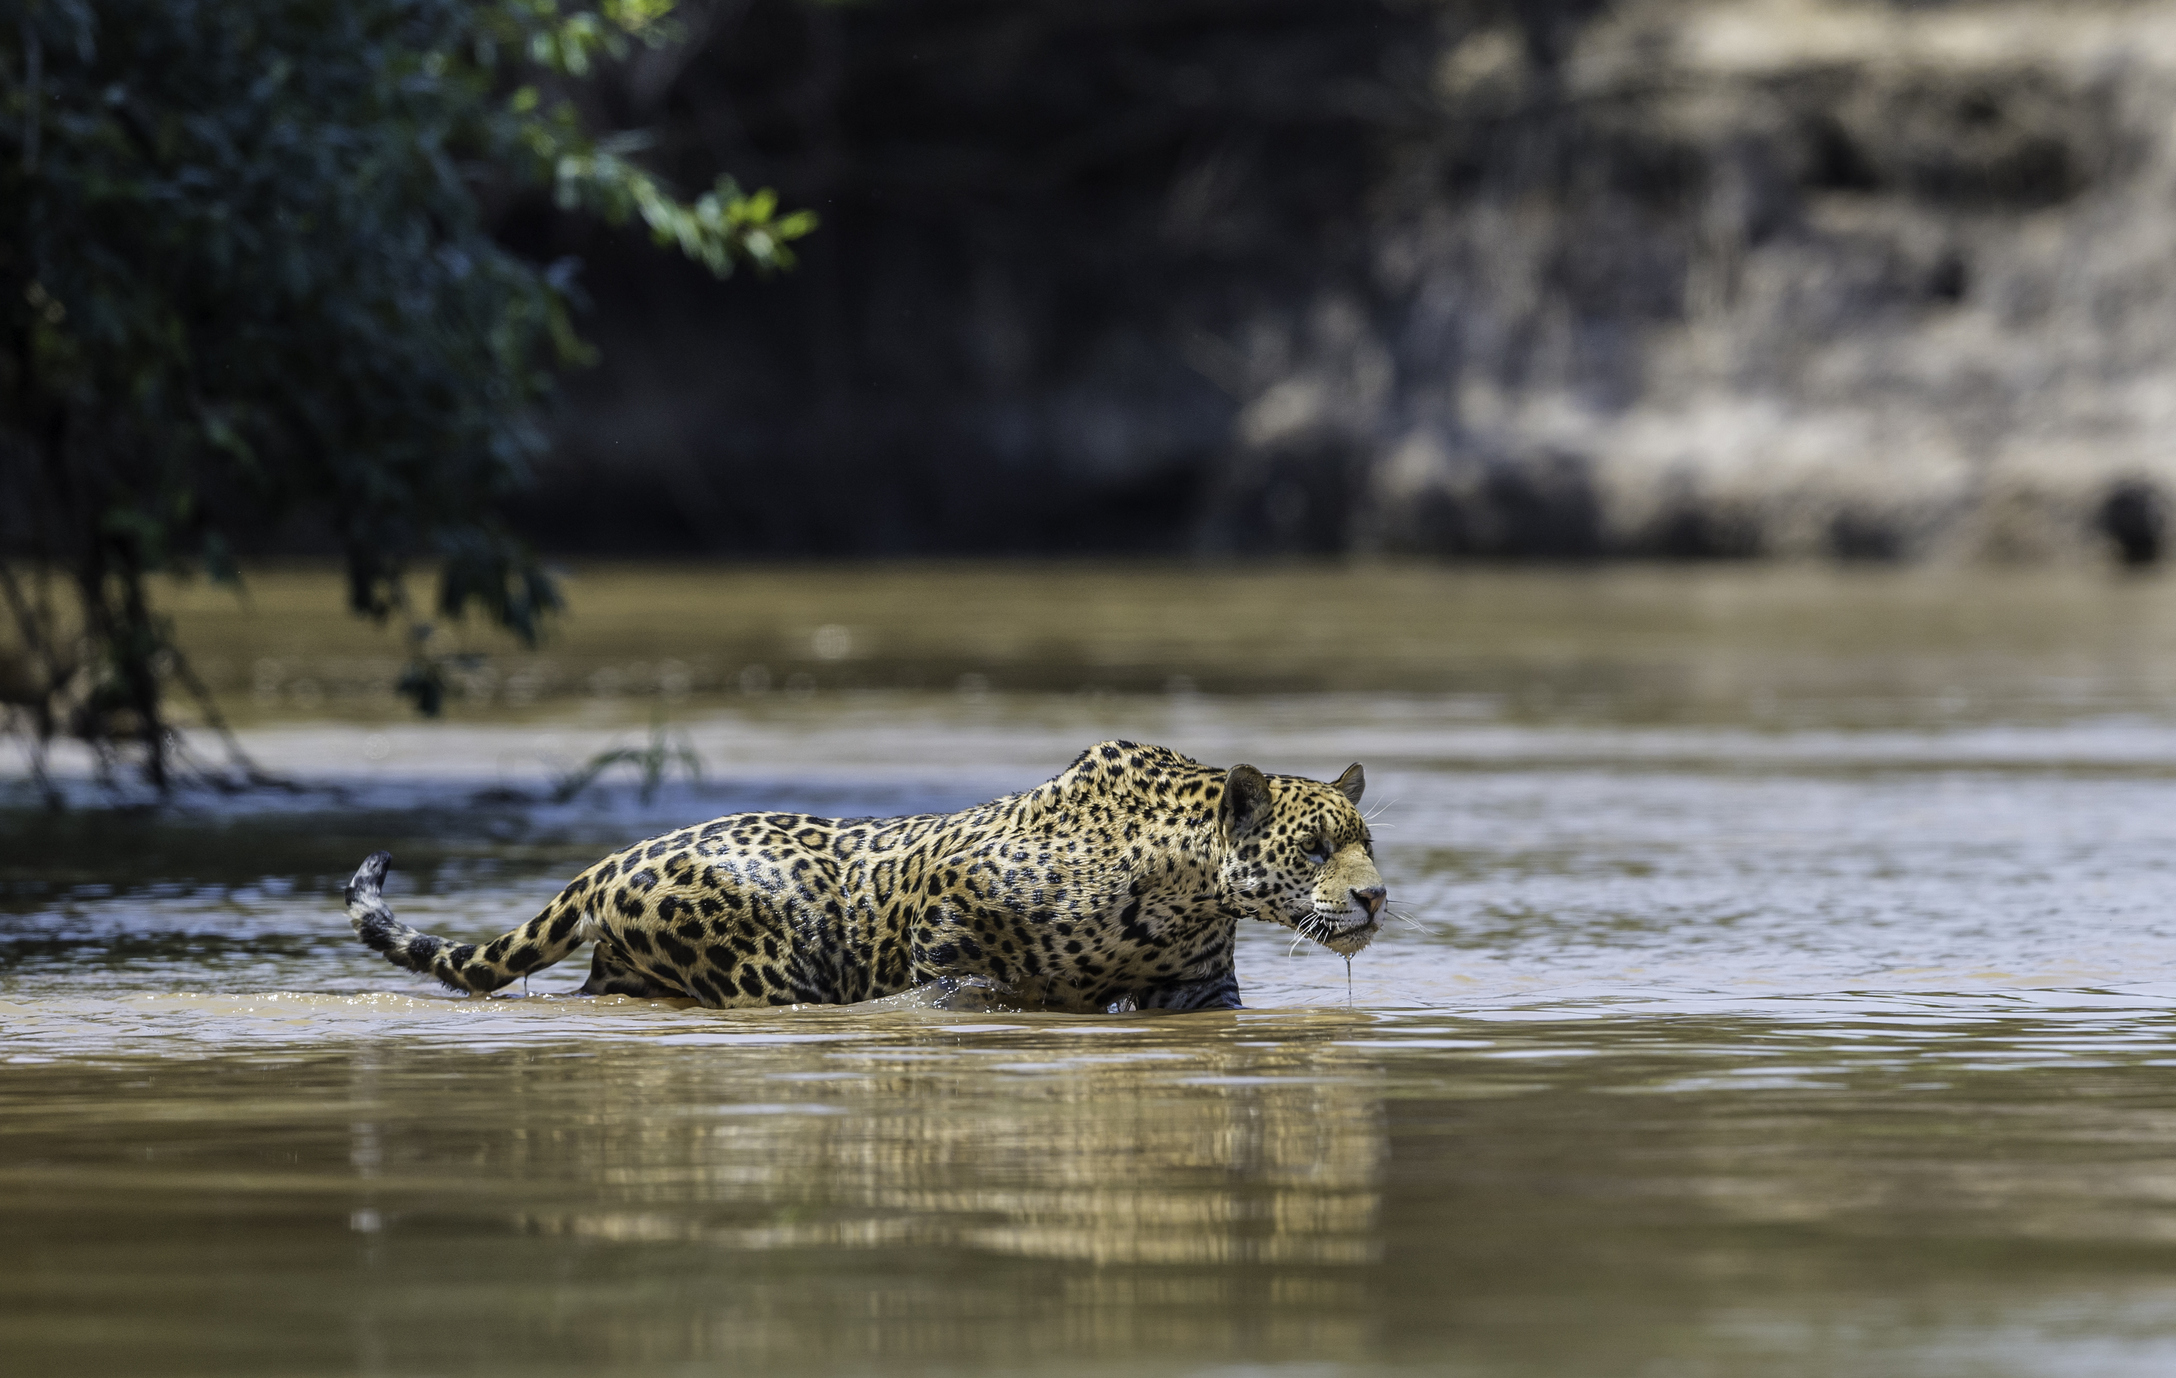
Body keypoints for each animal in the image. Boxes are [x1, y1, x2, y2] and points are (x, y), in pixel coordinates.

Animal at [340, 740, 1388, 1012]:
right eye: (1312, 850)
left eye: (1366, 841)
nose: (1376, 895)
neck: (1188, 883)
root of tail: (610, 862)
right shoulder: (948, 918)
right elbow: (952, 977)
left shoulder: (1205, 989)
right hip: (766, 964)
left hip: (628, 970)